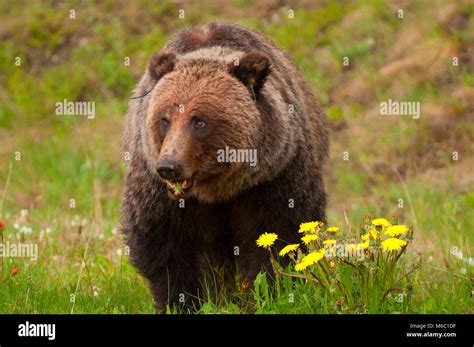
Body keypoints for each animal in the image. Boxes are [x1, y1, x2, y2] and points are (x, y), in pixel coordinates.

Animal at [121, 23, 330, 314]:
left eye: (199, 121)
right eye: (164, 119)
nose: (169, 167)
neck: (218, 190)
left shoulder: (274, 179)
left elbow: (278, 236)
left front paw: (267, 294)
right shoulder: (159, 193)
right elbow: (164, 246)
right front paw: (182, 302)